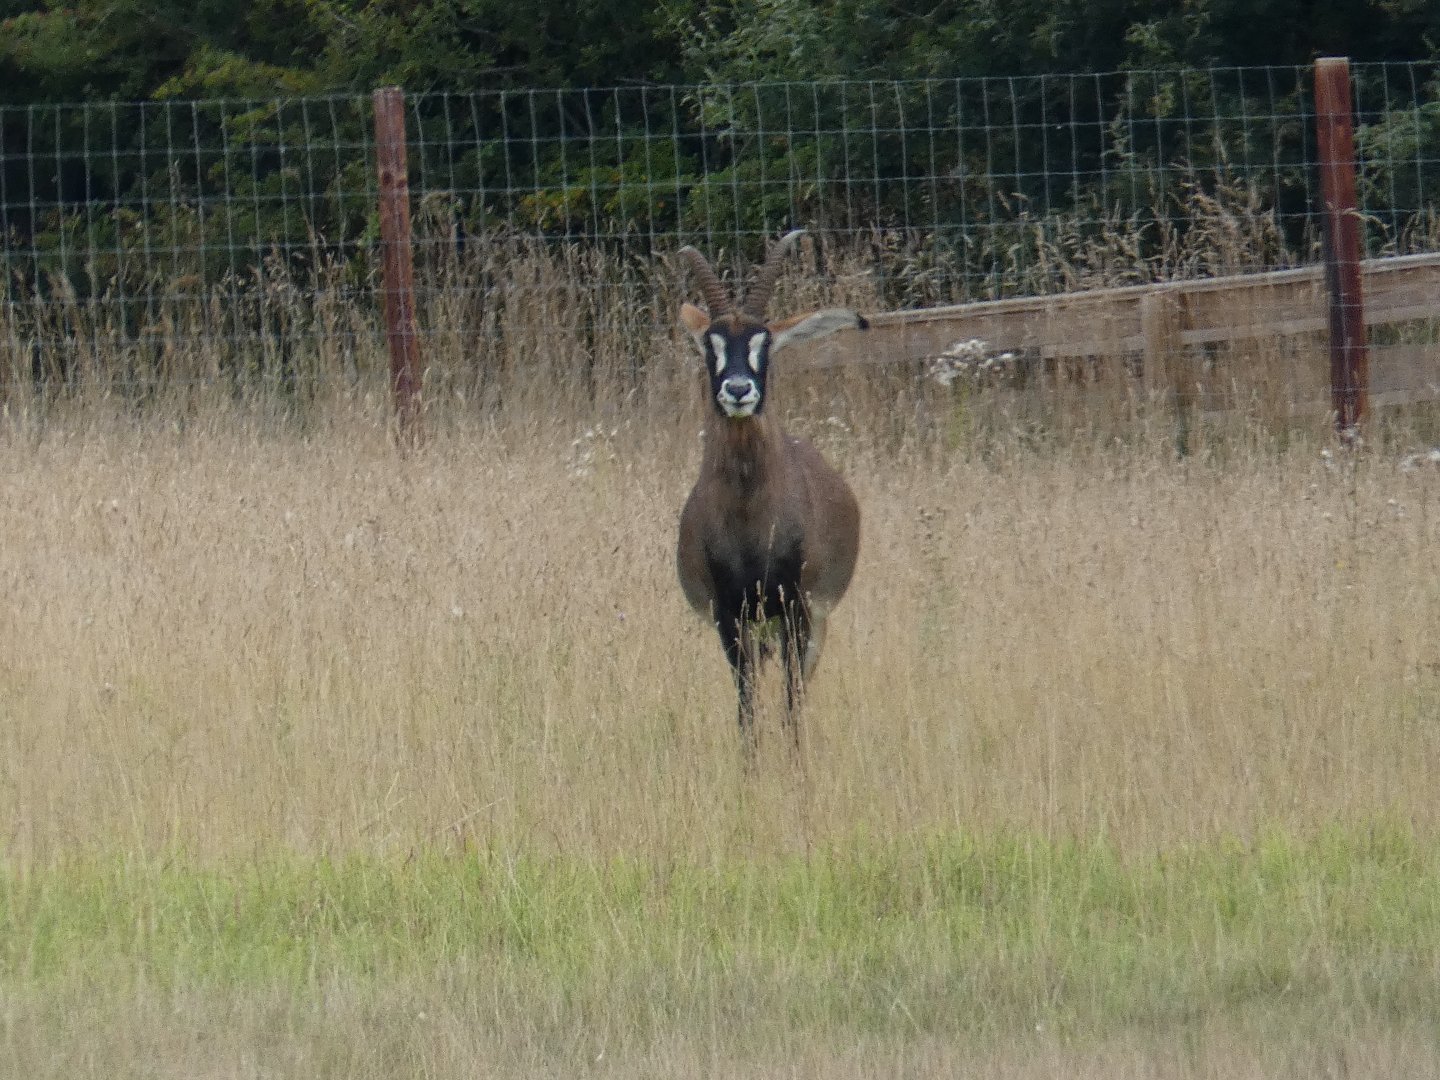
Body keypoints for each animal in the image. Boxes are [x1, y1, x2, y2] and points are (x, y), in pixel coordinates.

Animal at [674, 230, 866, 756]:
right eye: (711, 343)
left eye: (765, 341)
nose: (739, 390)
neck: (749, 522)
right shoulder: (730, 617)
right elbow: (746, 704)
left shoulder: (797, 610)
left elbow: (791, 699)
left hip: (806, 622)